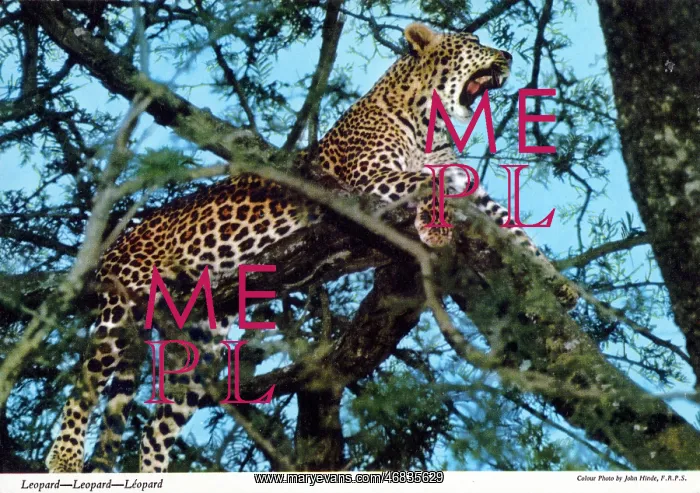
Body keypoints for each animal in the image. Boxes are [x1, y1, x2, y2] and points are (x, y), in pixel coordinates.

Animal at [45, 22, 570, 473]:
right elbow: (437, 180)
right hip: (122, 307)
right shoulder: (367, 185)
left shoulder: (472, 196)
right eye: (473, 42)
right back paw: (64, 458)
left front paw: (556, 283)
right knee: (85, 382)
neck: (433, 124)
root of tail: (123, 236)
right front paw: (436, 225)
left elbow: (510, 224)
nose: (507, 56)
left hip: (200, 345)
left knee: (153, 430)